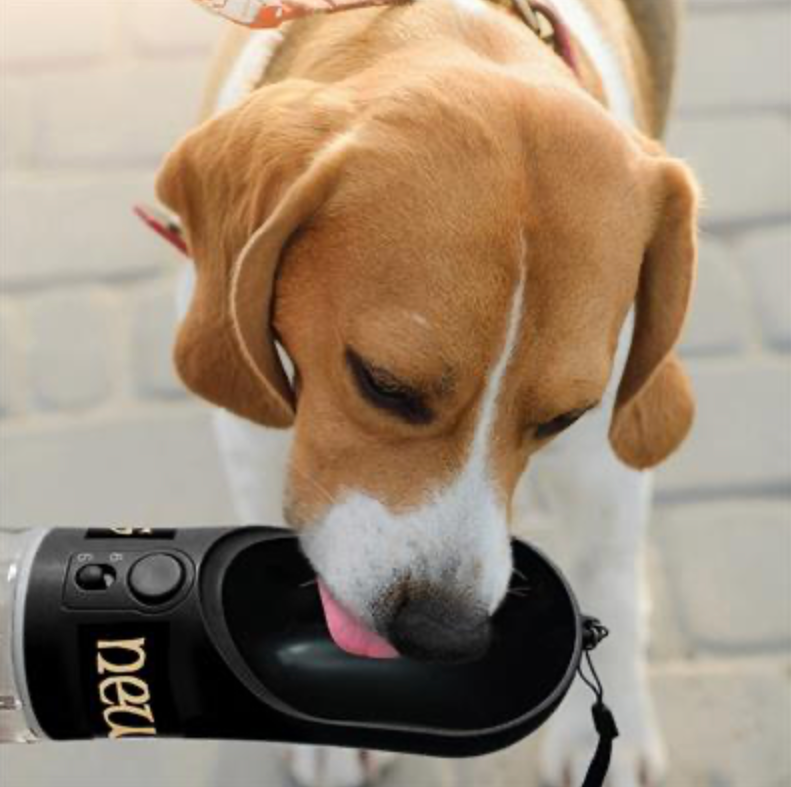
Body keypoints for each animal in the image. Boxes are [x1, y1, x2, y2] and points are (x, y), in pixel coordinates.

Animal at [156, 0, 700, 784]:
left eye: (564, 416)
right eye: (381, 383)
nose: (442, 633)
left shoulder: (603, 443)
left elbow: (609, 564)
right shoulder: (253, 411)